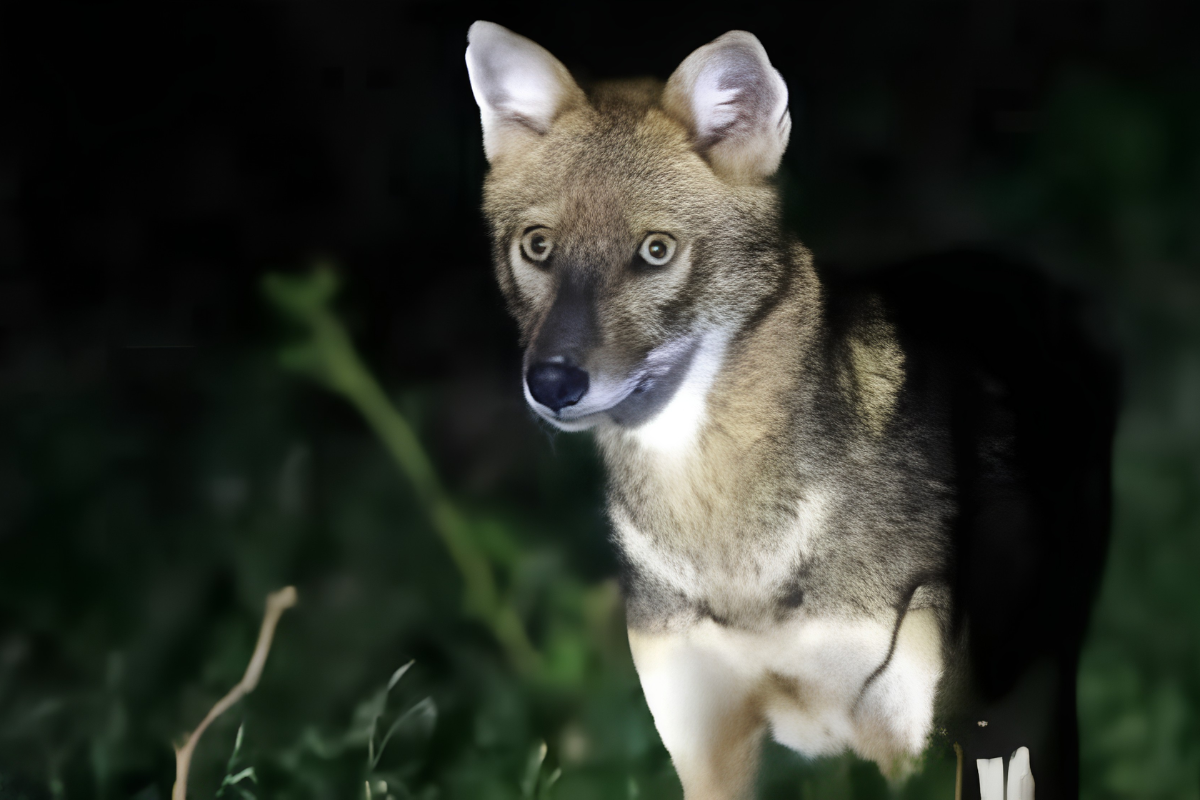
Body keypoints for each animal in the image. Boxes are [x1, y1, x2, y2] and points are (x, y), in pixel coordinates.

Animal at [465, 21, 1117, 800]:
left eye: (655, 251)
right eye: (537, 247)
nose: (552, 381)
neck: (724, 547)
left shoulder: (906, 745)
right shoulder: (704, 745)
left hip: (1013, 714)